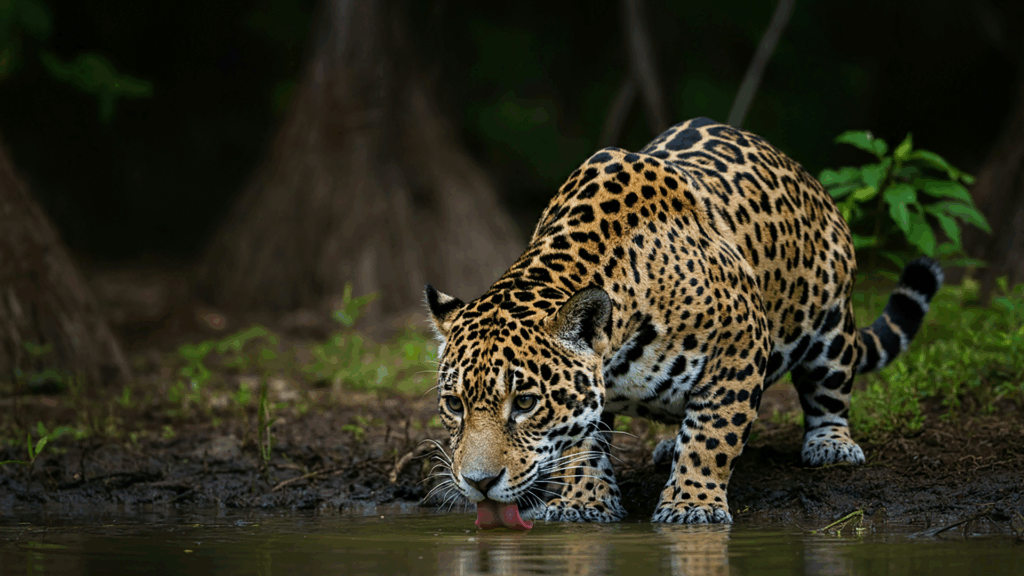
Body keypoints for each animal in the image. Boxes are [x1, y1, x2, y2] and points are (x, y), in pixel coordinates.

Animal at [424, 117, 943, 524]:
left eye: (526, 403)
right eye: (453, 405)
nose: (478, 483)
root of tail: (803, 174)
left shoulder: (740, 349)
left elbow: (715, 436)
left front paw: (692, 504)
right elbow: (580, 442)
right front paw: (584, 501)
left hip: (830, 321)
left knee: (828, 389)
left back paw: (831, 444)